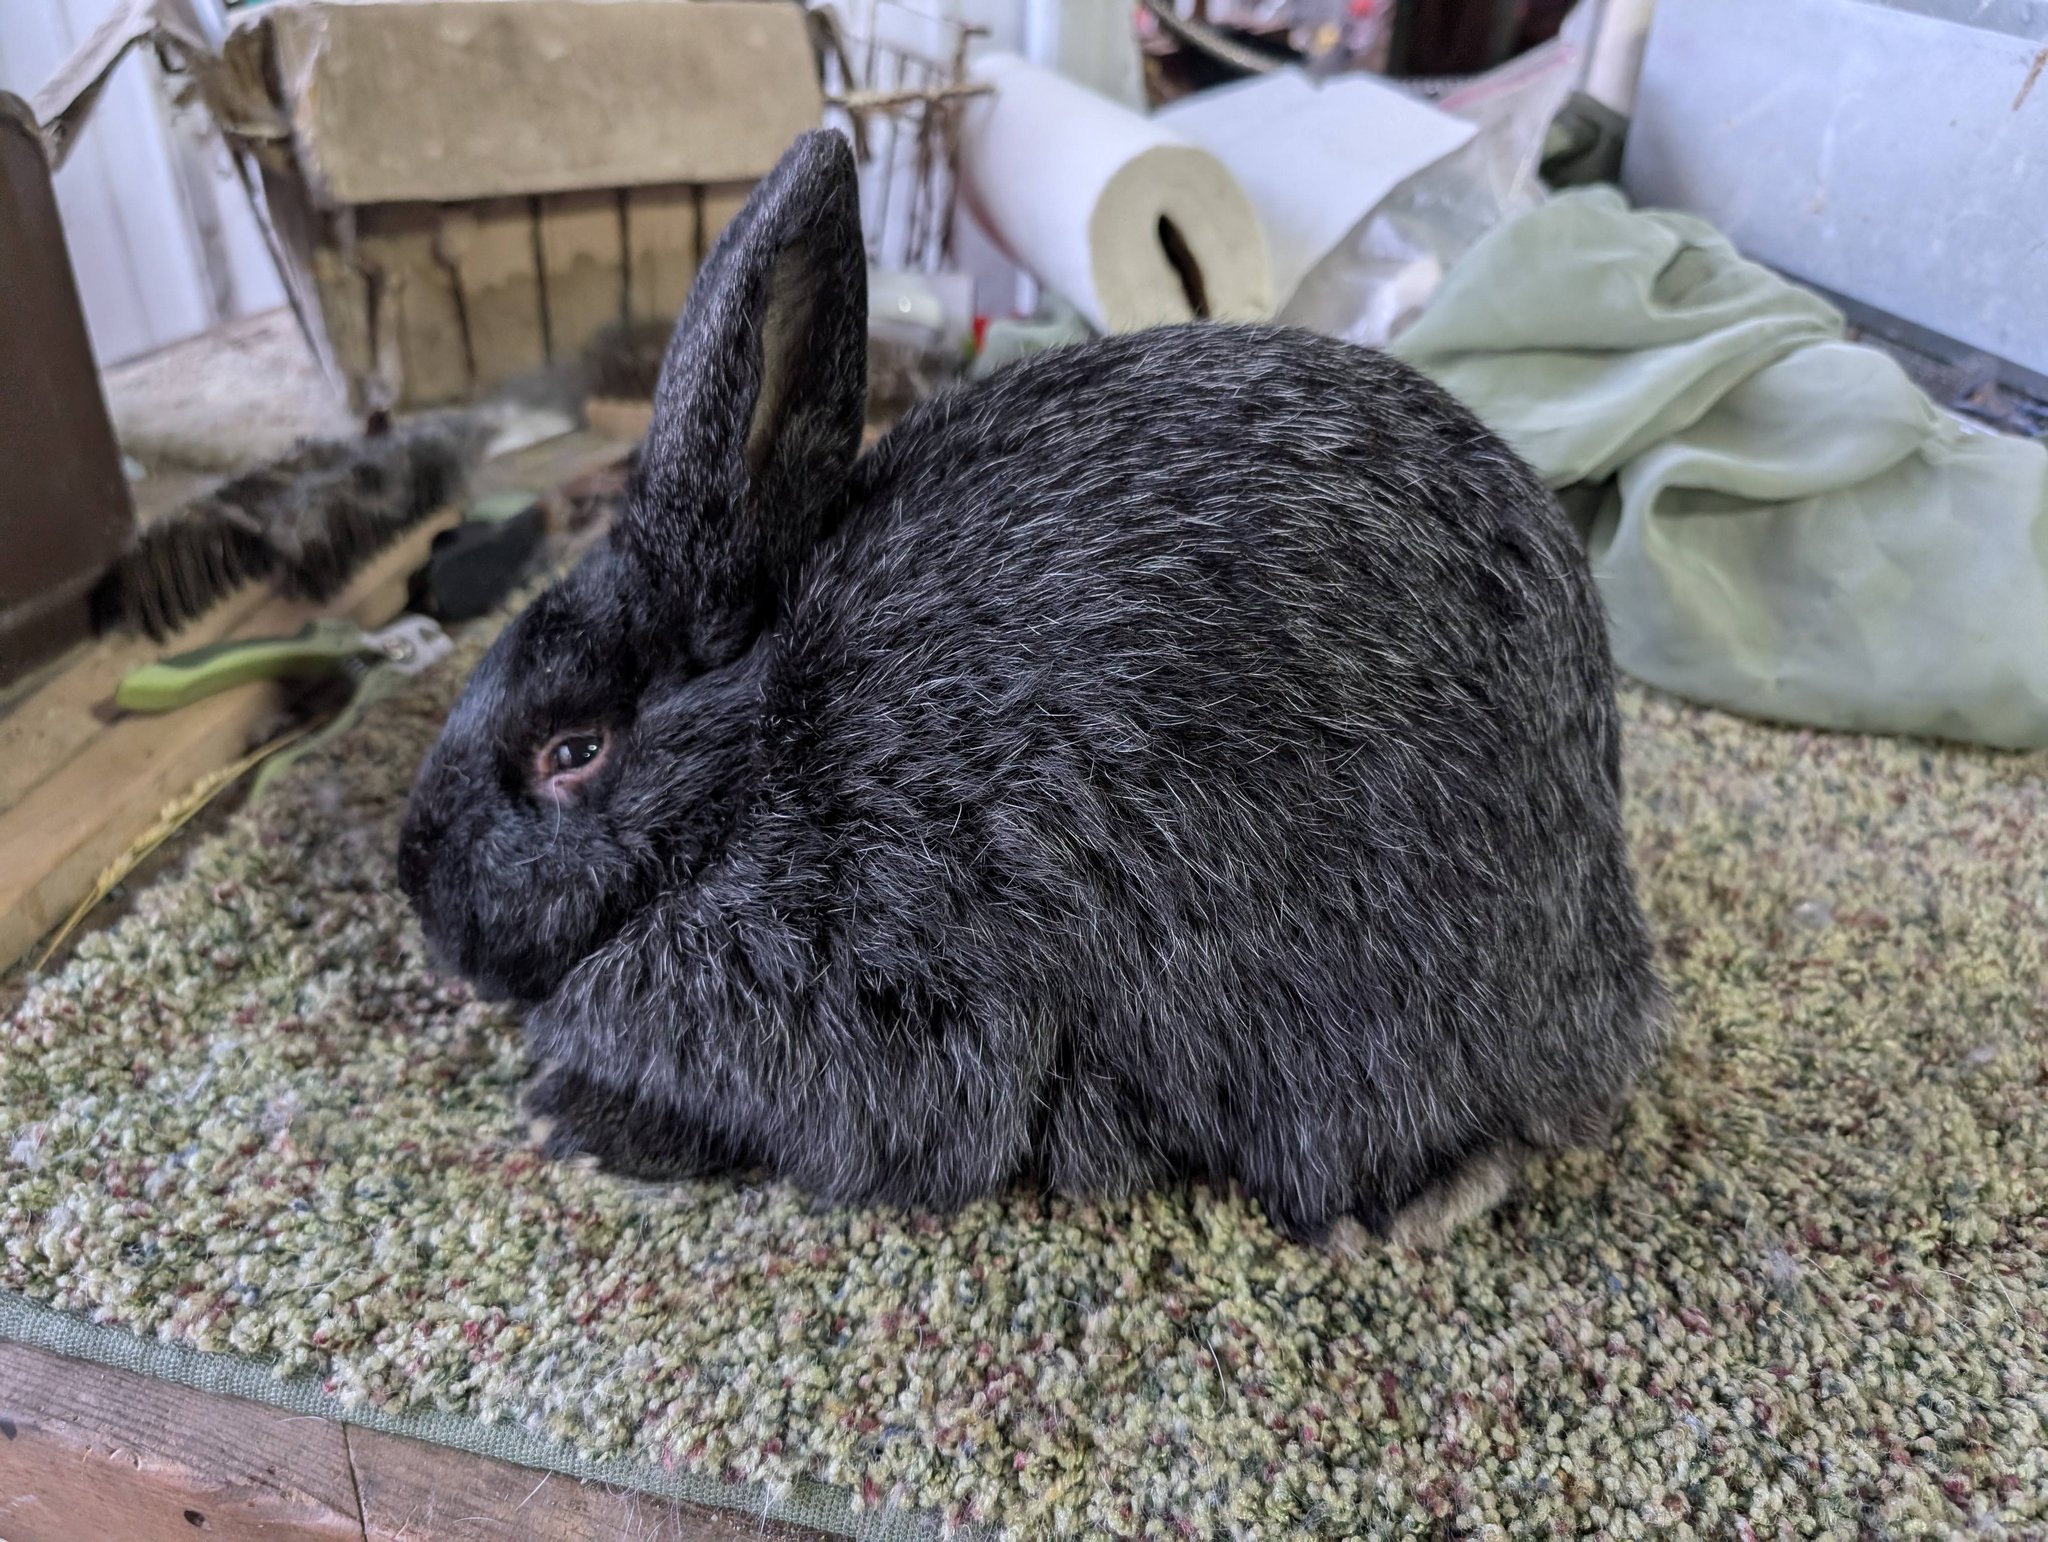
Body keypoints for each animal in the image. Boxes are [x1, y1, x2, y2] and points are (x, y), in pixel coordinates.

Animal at [397, 129, 1666, 1248]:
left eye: (572, 751)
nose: (423, 896)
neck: (756, 765)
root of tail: (1604, 954)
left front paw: (573, 1119)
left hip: (1367, 1009)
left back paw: (1393, 1212)